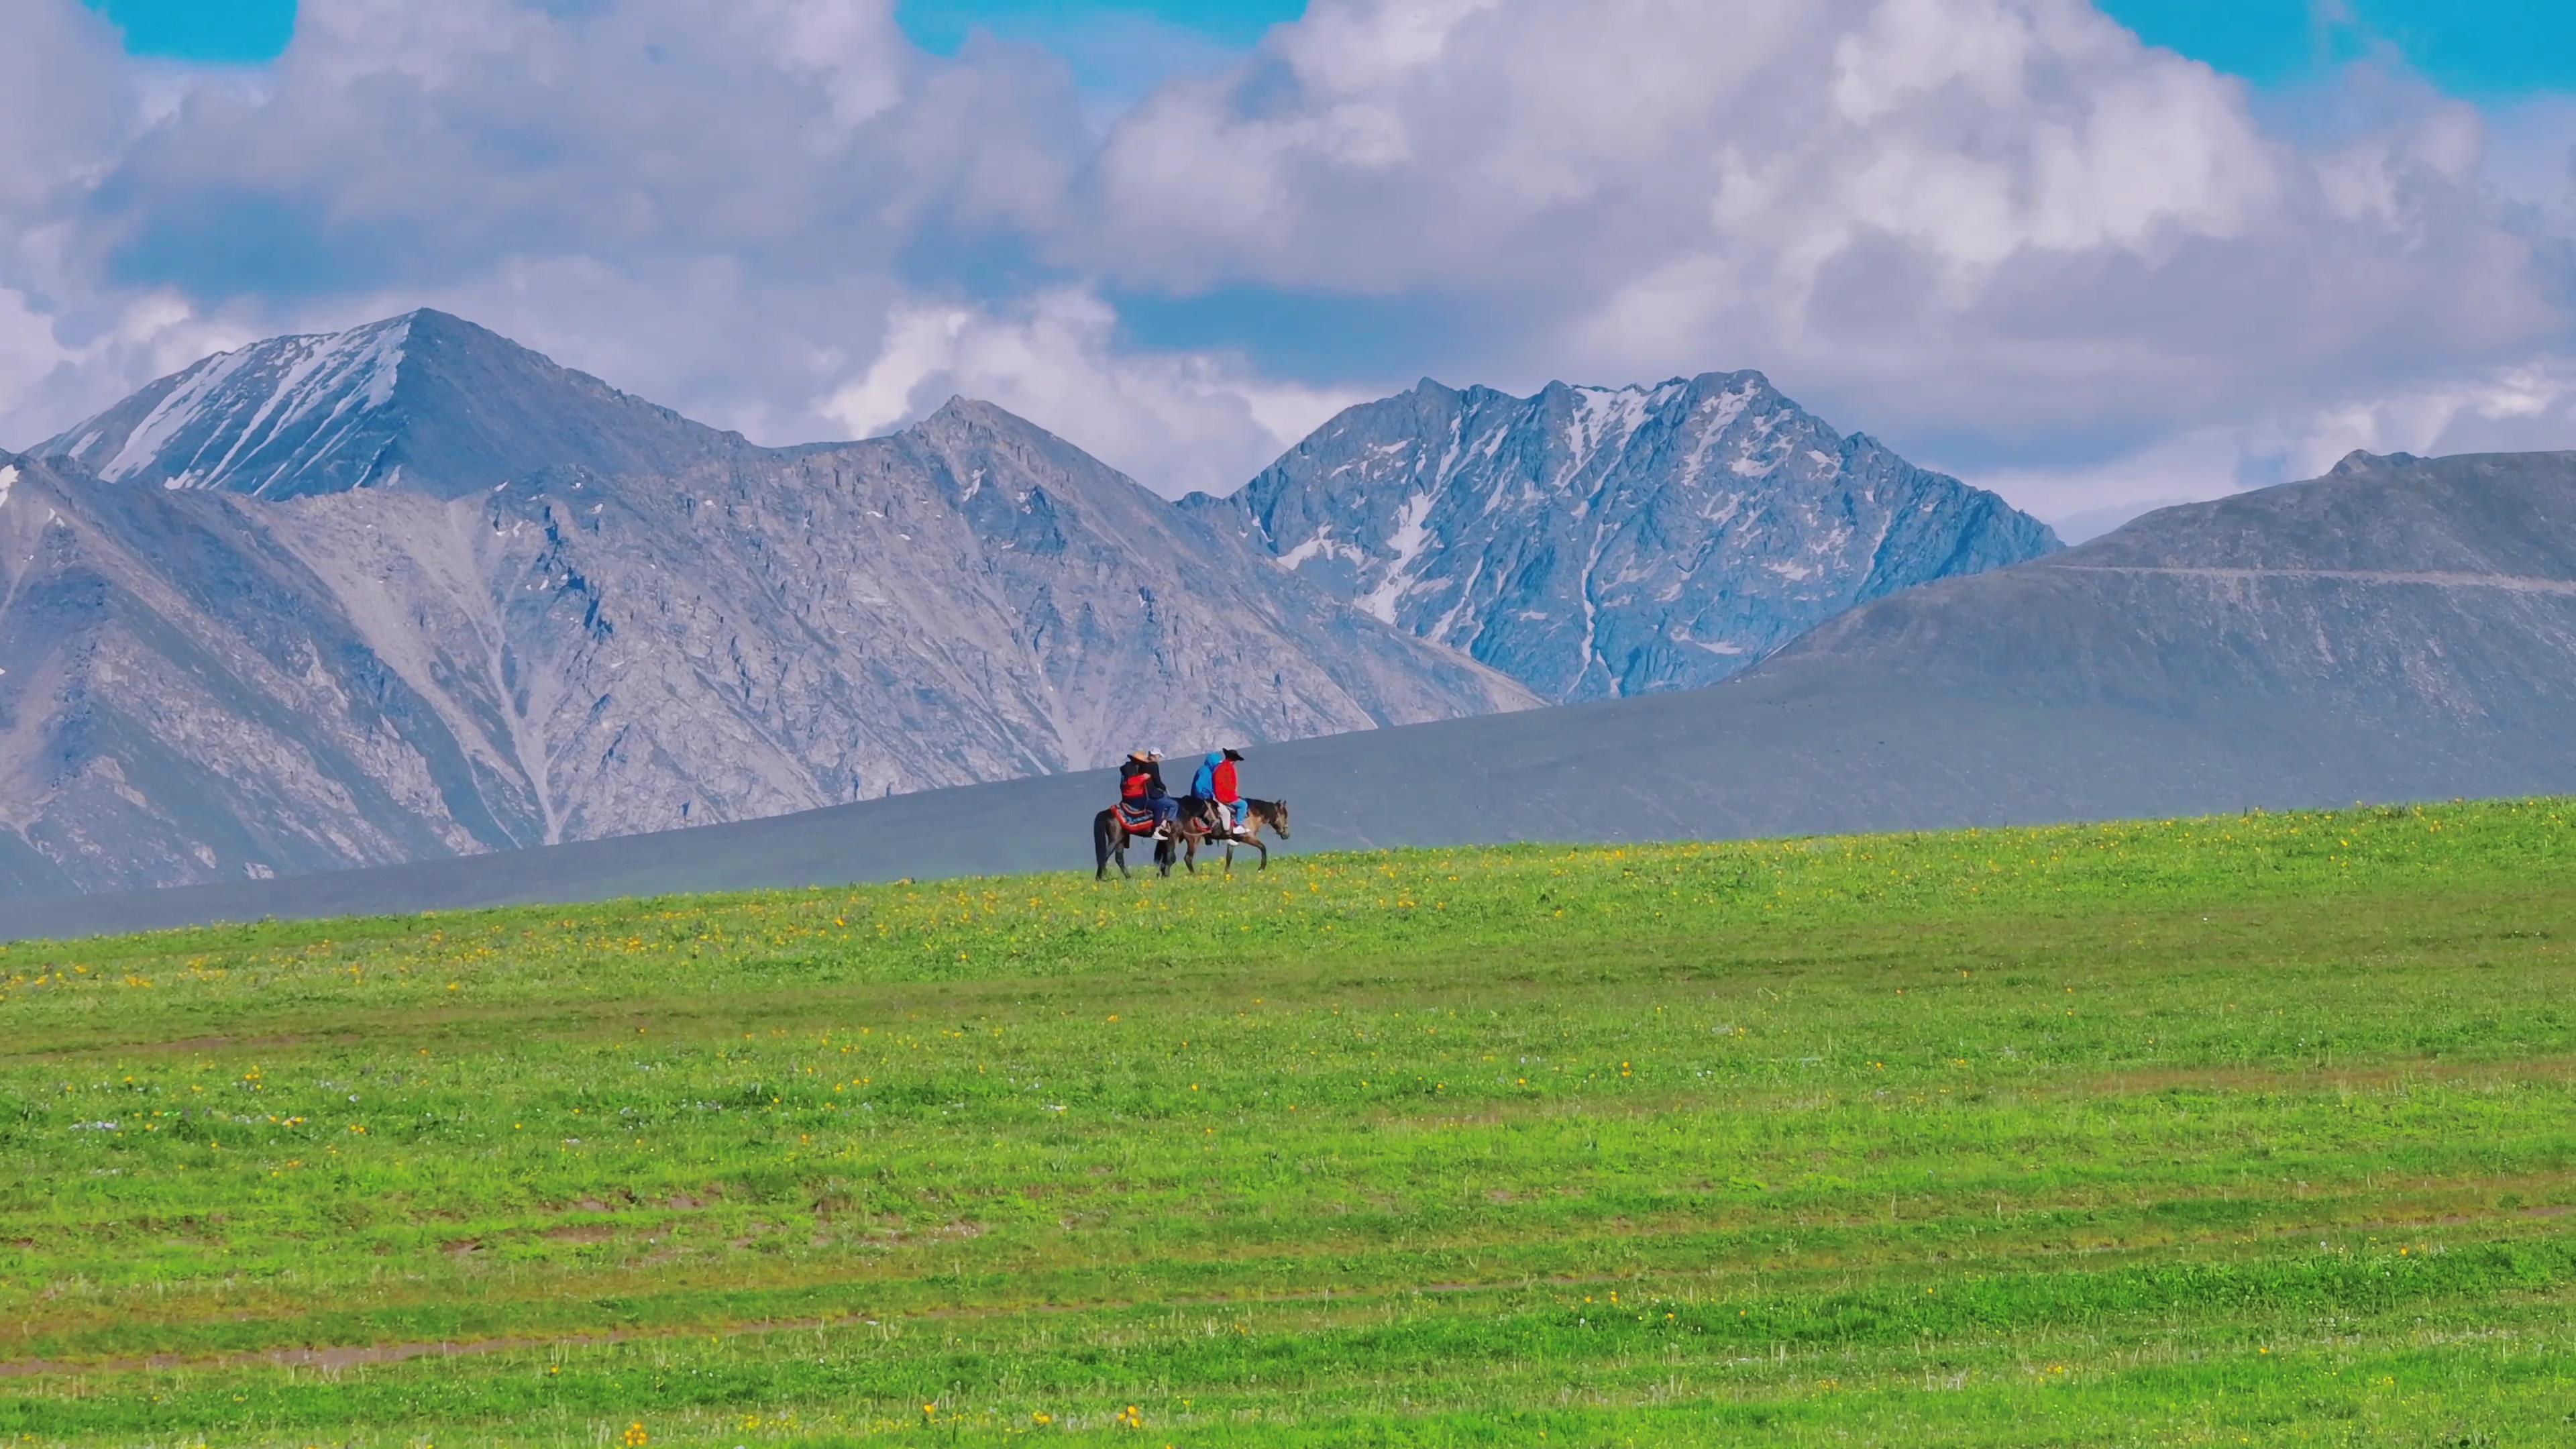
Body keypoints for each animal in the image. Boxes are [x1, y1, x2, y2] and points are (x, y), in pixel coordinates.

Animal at [1087, 794, 1179, 876]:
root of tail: (1106, 812)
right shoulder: (1172, 836)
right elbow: (1170, 857)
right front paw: (1165, 876)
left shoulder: (1164, 840)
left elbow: (1164, 857)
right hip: (1115, 838)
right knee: (1105, 855)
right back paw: (1099, 879)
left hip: (1121, 839)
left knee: (1119, 858)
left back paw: (1129, 878)